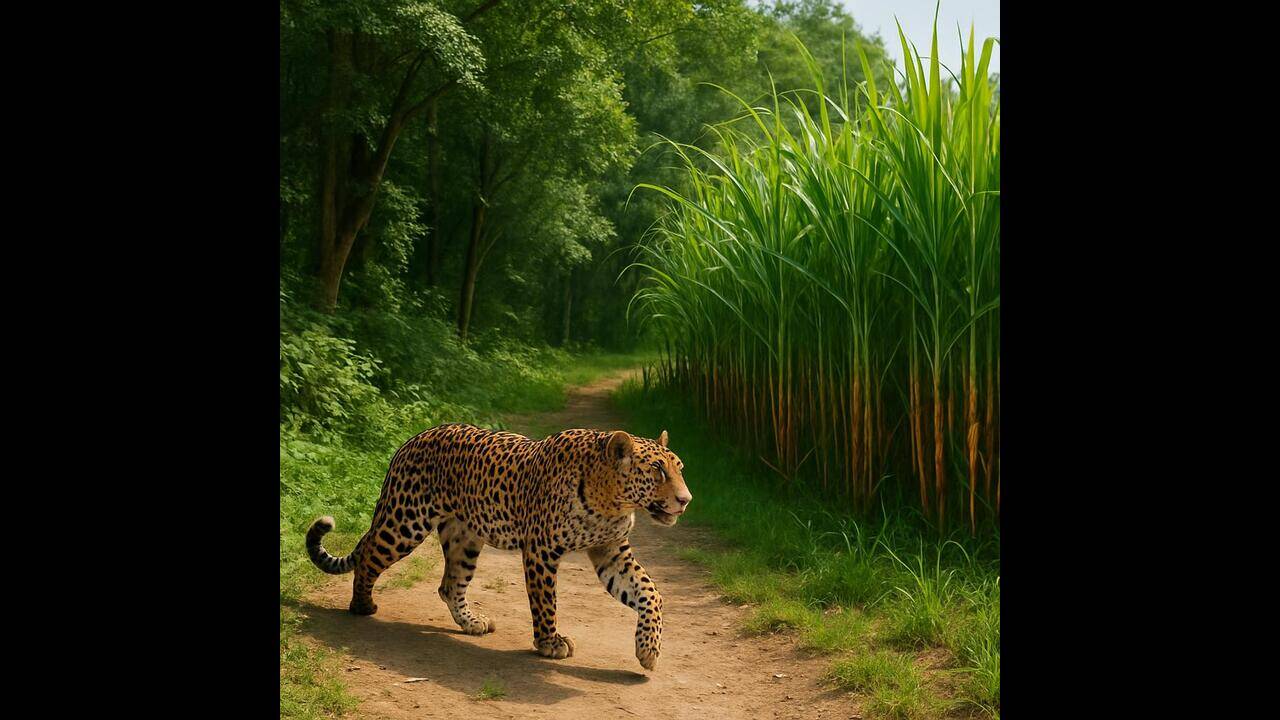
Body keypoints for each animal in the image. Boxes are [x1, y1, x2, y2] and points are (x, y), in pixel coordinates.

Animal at [305, 423, 692, 671]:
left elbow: (650, 592)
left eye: (680, 469)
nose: (686, 500)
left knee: (449, 586)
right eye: (657, 471)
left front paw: (648, 649)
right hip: (404, 522)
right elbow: (545, 602)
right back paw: (362, 605)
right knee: (369, 554)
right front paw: (549, 643)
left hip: (464, 538)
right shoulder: (541, 550)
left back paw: (471, 622)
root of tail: (411, 440)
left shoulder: (611, 551)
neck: (611, 501)